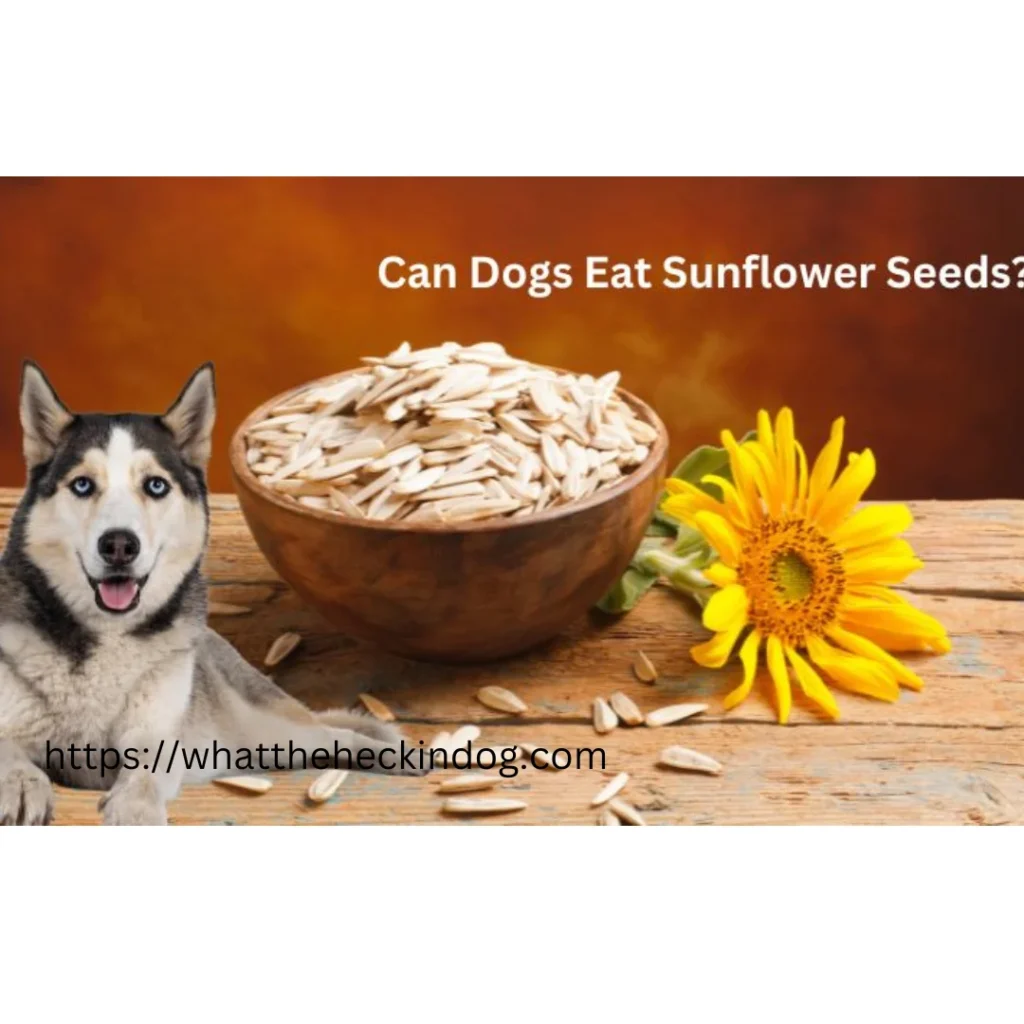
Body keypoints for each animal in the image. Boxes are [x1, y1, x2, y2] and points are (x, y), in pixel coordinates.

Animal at [0, 362, 421, 823]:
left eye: (156, 486)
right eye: (81, 485)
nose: (119, 545)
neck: (106, 639)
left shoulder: (156, 735)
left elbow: (144, 775)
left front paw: (135, 810)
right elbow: (9, 752)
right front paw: (23, 785)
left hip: (269, 728)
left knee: (335, 735)